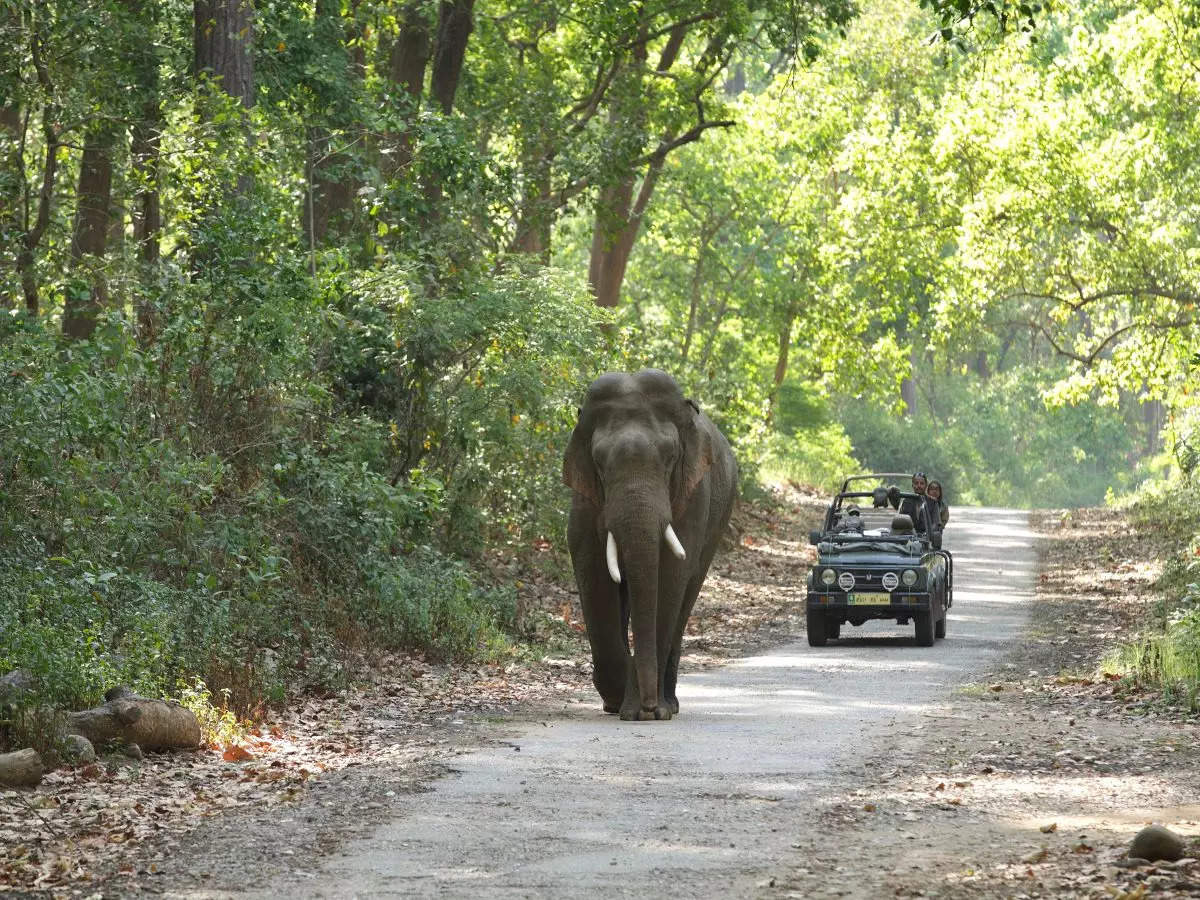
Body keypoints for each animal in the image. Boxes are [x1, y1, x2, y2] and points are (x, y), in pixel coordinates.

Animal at [564, 369, 739, 724]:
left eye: (671, 457)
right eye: (599, 462)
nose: (646, 707)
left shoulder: (693, 495)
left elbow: (670, 574)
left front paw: (649, 711)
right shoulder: (584, 498)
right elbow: (593, 571)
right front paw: (622, 701)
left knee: (686, 597)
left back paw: (669, 703)